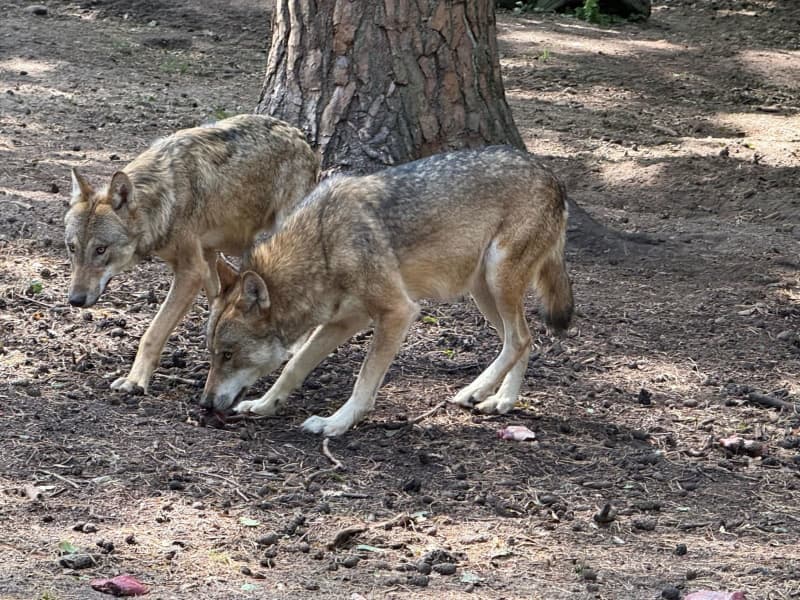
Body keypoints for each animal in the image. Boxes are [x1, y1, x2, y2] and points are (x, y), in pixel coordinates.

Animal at [64, 114, 319, 394]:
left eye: (101, 250)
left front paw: (135, 380)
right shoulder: (206, 258)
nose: (75, 300)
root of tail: (299, 135)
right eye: (72, 248)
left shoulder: (190, 272)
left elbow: (153, 333)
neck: (166, 199)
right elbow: (216, 300)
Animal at [200, 146, 573, 436]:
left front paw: (336, 423)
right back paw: (502, 401)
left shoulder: (398, 312)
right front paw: (266, 404)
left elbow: (363, 380)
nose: (204, 403)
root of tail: (553, 177)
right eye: (213, 353)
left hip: (496, 283)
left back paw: (475, 390)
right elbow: (295, 364)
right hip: (482, 292)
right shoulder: (343, 322)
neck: (323, 245)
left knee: (519, 339)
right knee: (524, 340)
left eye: (228, 354)